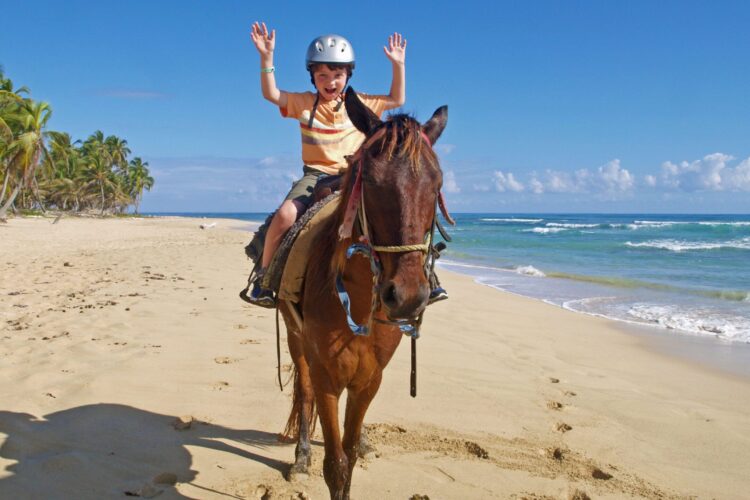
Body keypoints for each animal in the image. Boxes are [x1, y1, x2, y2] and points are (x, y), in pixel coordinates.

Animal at [280, 90, 446, 500]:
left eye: (436, 183)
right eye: (369, 180)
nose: (407, 296)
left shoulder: (370, 379)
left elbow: (350, 451)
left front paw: (362, 443)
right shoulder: (326, 375)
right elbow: (336, 464)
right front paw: (314, 459)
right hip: (295, 339)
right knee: (303, 393)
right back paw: (301, 456)